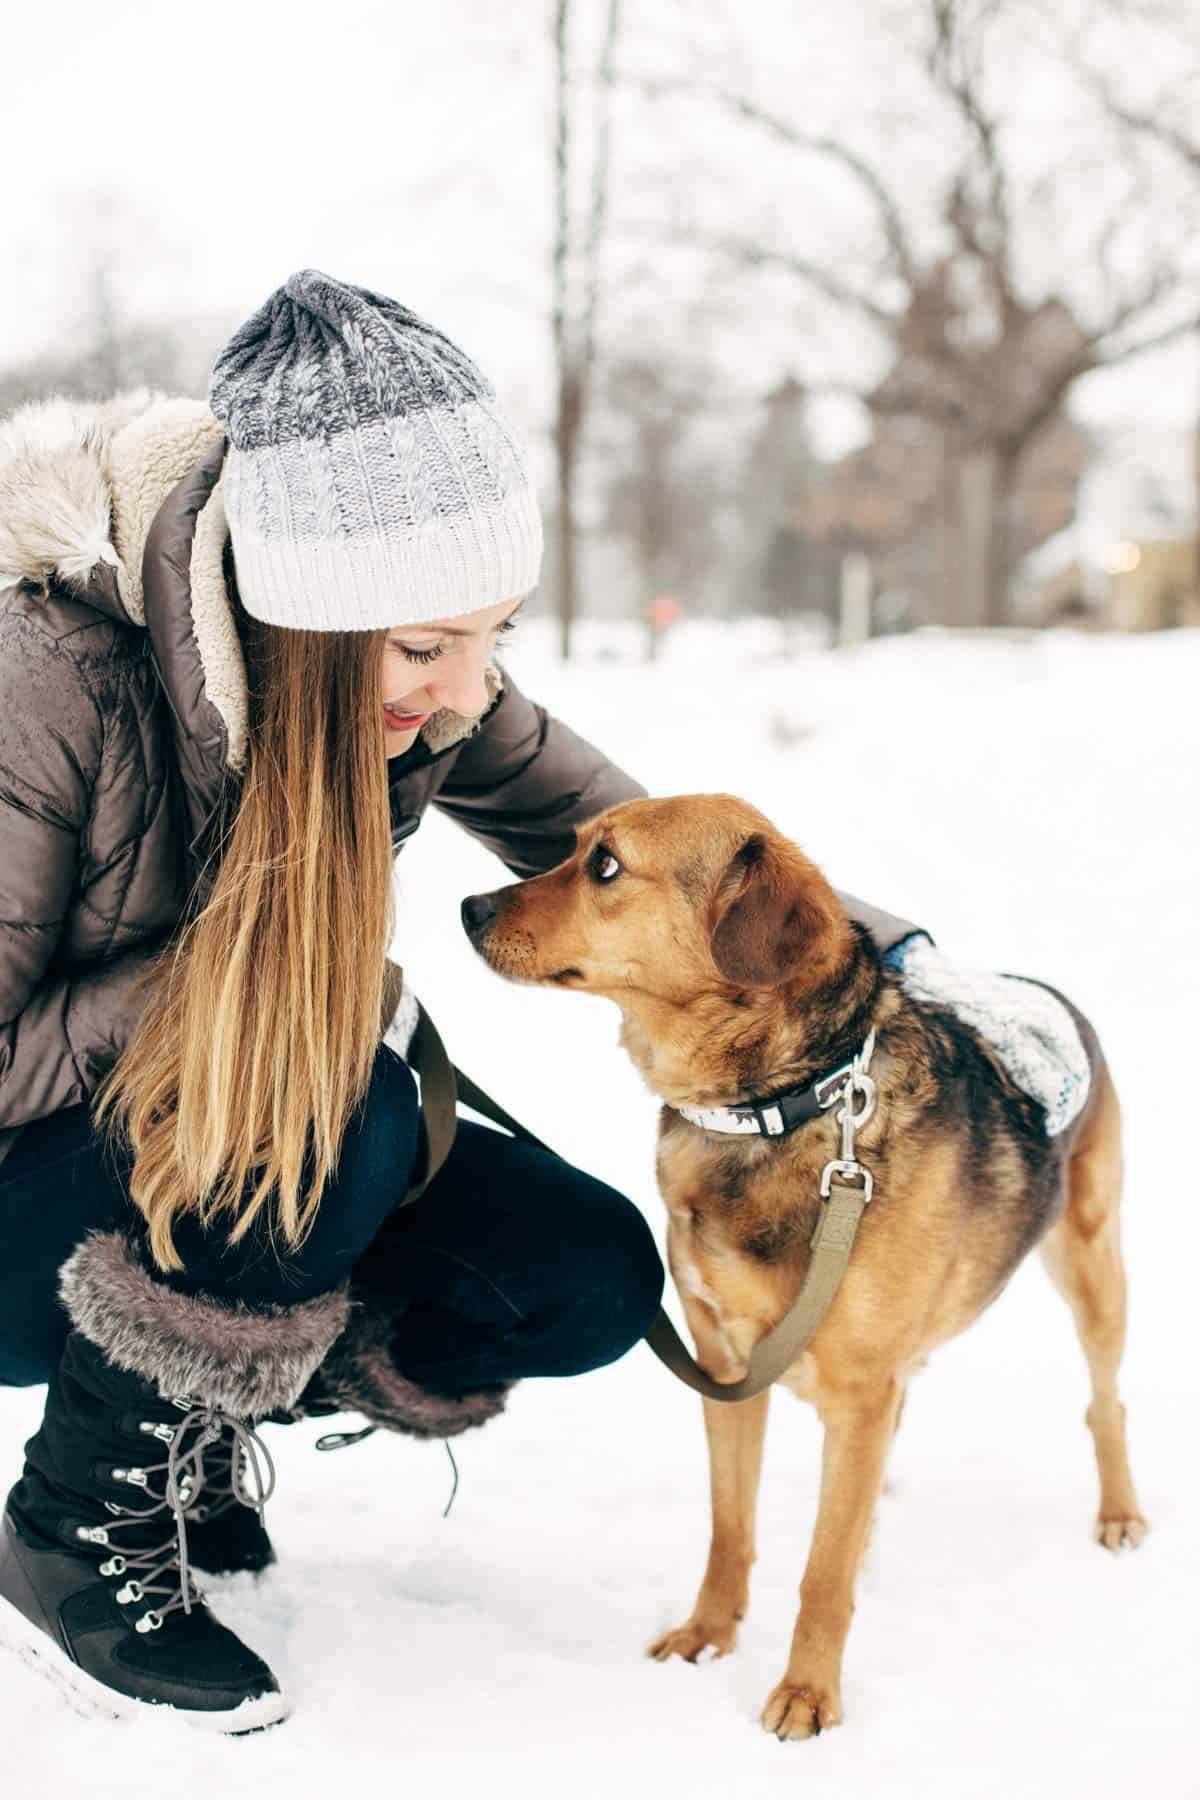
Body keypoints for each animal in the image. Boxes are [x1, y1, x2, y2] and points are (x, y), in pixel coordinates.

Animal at [456, 795, 1144, 1735]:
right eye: (571, 847)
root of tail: (1048, 992)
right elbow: (730, 1527)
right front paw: (708, 1635)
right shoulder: (725, 1367)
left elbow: (822, 1572)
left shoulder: (857, 1390)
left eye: (606, 866)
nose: (469, 908)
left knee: (1105, 1402)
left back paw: (1119, 1512)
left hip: (1091, 1266)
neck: (772, 1111)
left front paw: (808, 1693)